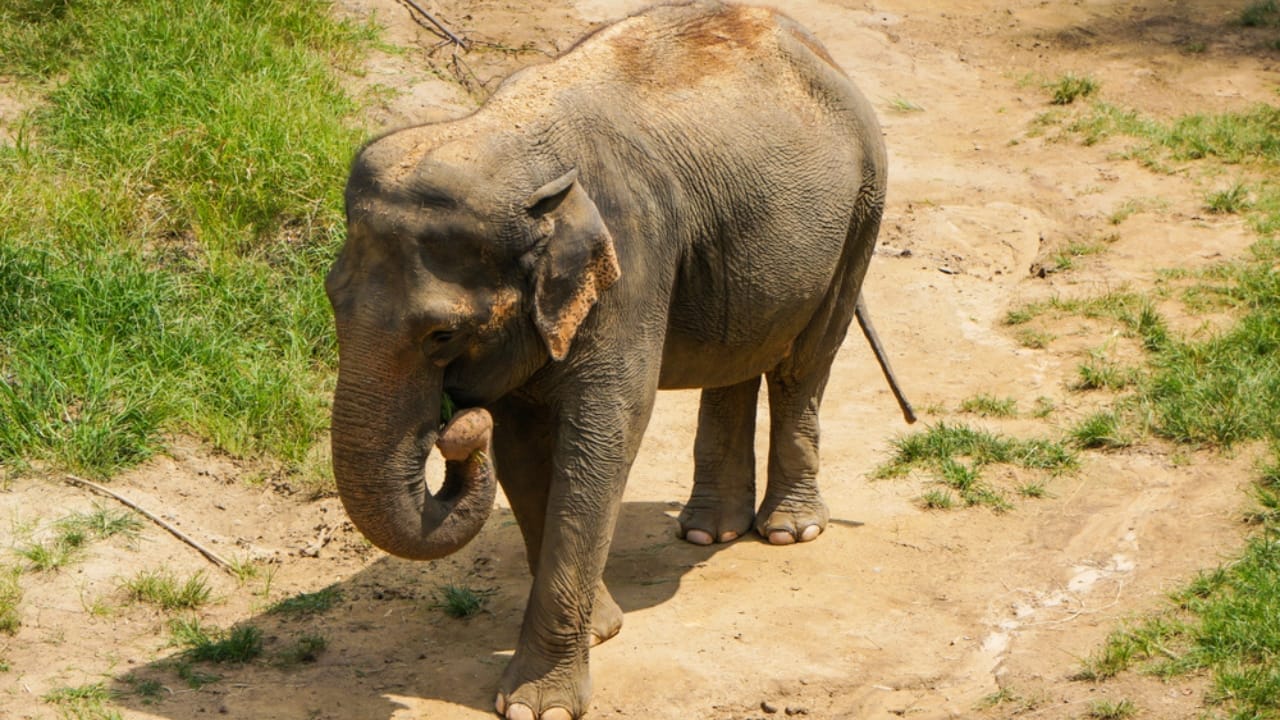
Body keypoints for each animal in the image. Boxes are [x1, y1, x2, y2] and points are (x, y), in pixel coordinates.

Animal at [325, 2, 914, 718]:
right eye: (330, 298)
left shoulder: (633, 259)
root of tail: (816, 46)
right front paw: (601, 631)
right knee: (737, 358)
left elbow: (606, 433)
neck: (502, 137)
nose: (457, 427)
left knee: (804, 362)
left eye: (441, 334)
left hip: (865, 205)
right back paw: (709, 534)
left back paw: (787, 531)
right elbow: (521, 445)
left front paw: (538, 705)